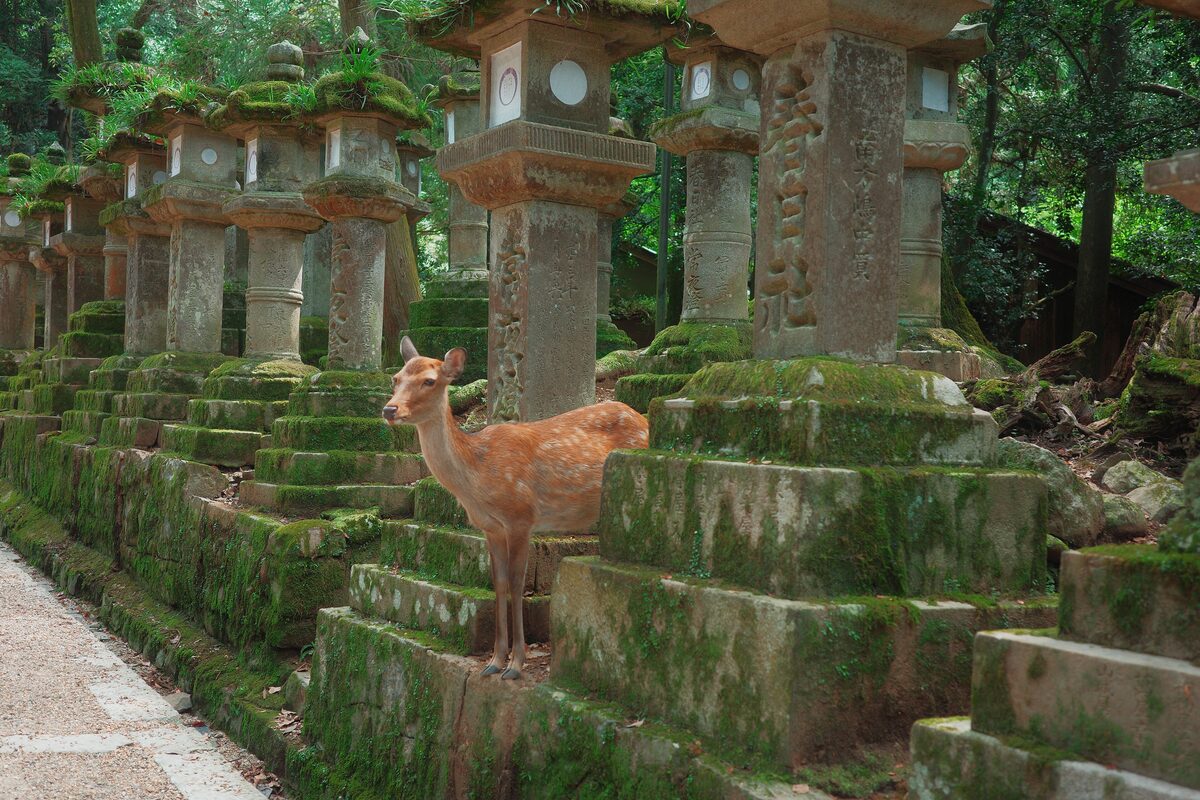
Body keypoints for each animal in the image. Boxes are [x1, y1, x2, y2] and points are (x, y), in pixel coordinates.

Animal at [383, 337, 649, 679]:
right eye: (396, 378)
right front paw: (494, 661)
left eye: (429, 381)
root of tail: (646, 421)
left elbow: (517, 582)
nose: (390, 409)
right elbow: (498, 583)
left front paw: (516, 665)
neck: (478, 477)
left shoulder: (521, 516)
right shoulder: (491, 528)